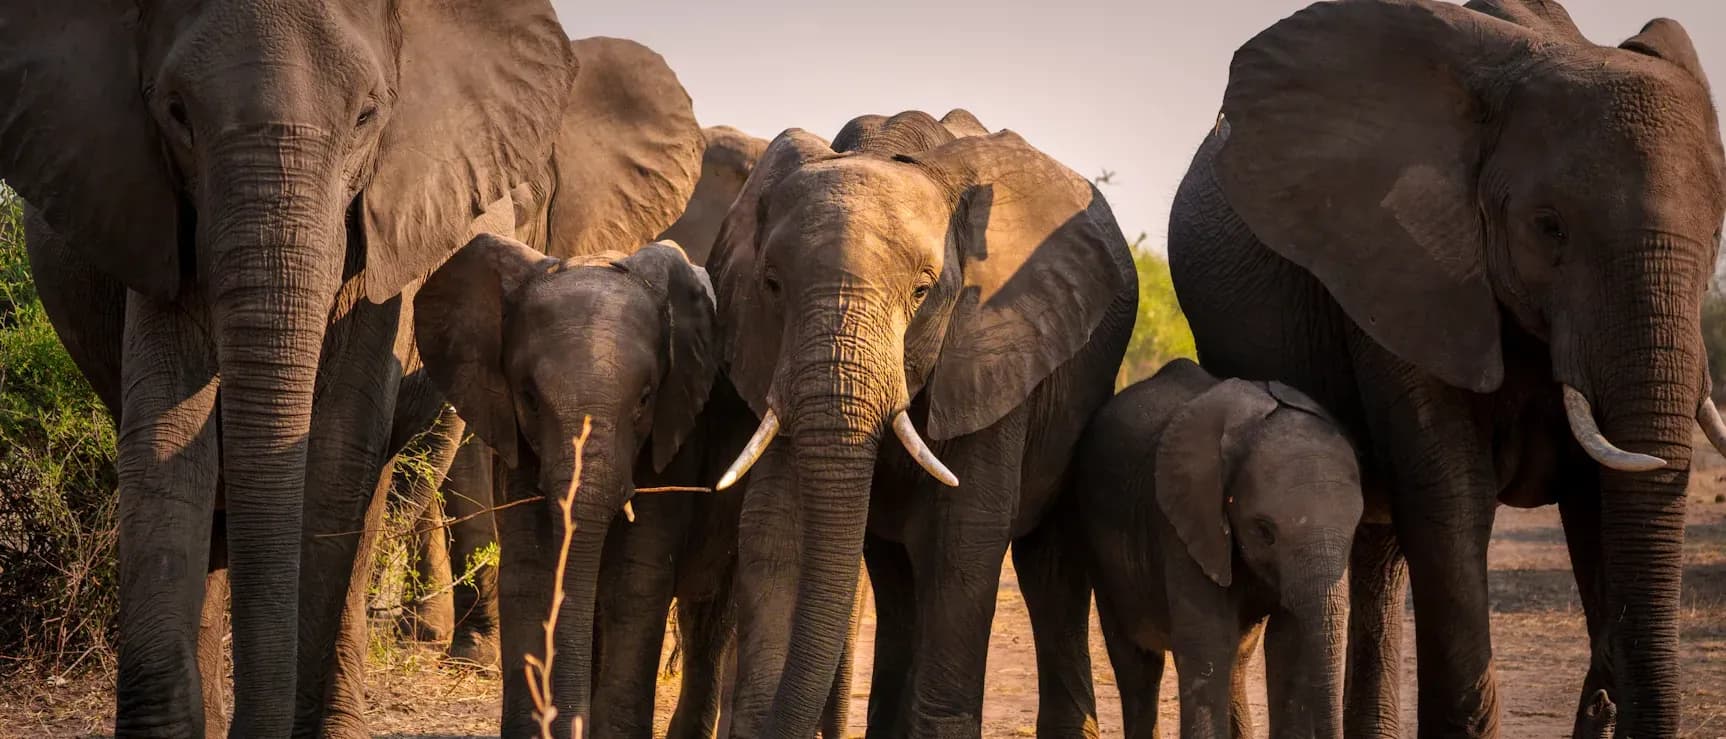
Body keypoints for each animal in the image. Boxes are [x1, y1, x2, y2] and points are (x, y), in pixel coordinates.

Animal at [708, 109, 1137, 737]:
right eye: (771, 285)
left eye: (922, 291)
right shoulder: (769, 351)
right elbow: (774, 527)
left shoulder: (992, 346)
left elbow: (963, 538)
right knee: (899, 582)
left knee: (1049, 571)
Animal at [1074, 358, 1361, 739]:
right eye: (1264, 531)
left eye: (1355, 527)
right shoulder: (1182, 522)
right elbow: (1207, 643)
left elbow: (1289, 645)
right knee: (1138, 663)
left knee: (1236, 657)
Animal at [1165, 1, 1726, 736]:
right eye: (1549, 226)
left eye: (1717, 234)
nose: (1607, 704)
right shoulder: (1398, 269)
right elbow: (1452, 500)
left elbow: (1600, 496)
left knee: (1378, 550)